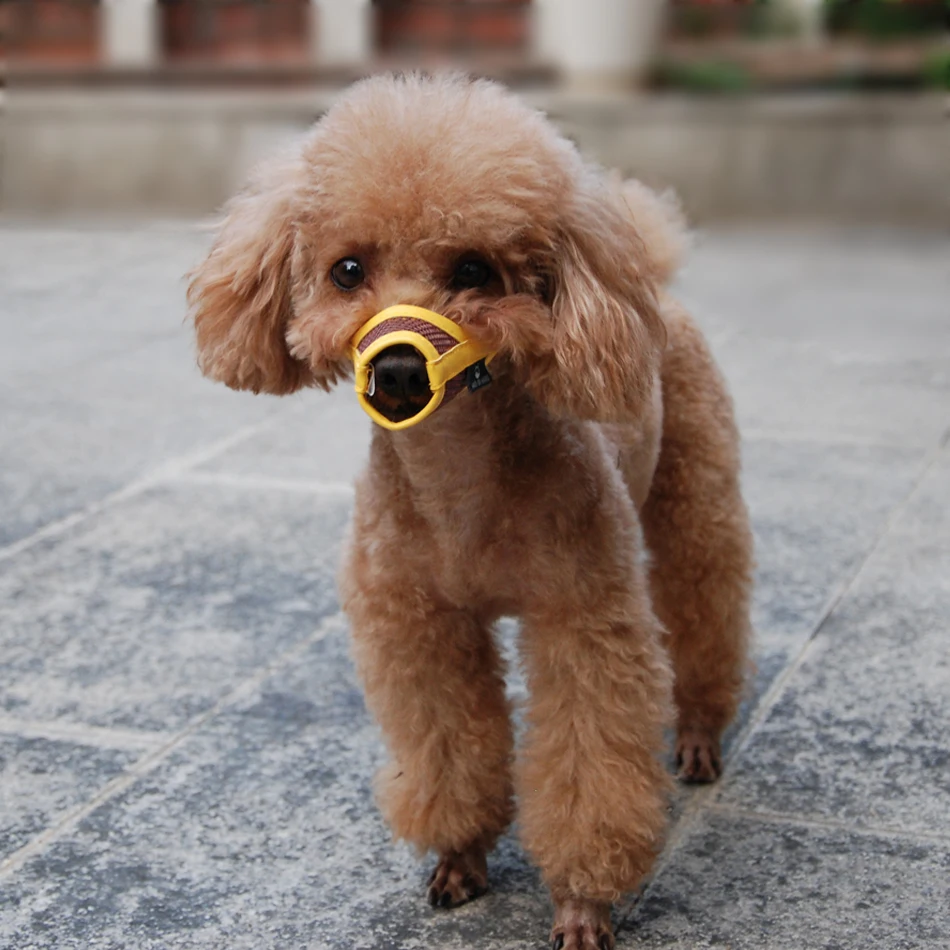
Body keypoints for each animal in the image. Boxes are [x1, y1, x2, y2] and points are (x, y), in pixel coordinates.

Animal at [190, 72, 756, 950]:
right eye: (347, 269)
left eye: (474, 269)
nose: (395, 369)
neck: (457, 484)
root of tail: (652, 279)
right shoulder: (420, 625)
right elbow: (448, 746)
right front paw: (458, 858)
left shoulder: (584, 619)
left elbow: (589, 765)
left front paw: (582, 902)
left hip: (696, 495)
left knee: (706, 604)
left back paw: (698, 735)